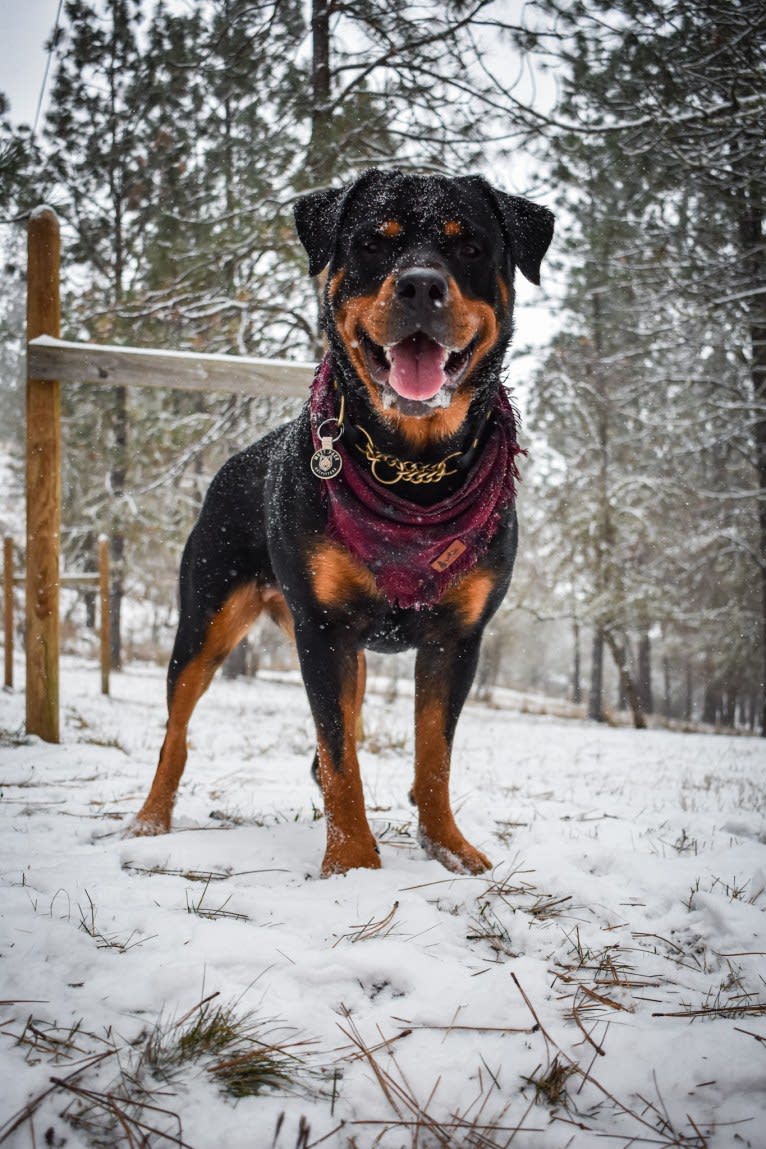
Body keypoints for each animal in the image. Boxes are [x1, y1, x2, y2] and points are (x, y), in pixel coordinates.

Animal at [134, 166, 553, 873]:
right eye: (373, 243)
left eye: (469, 246)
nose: (420, 284)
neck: (413, 473)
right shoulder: (323, 631)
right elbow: (339, 759)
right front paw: (353, 863)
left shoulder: (457, 640)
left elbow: (433, 755)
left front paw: (448, 848)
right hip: (206, 618)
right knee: (177, 731)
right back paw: (149, 820)